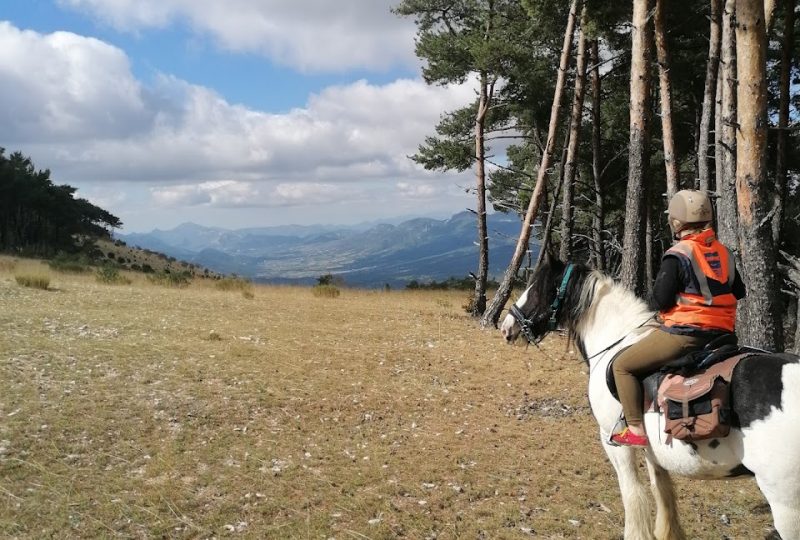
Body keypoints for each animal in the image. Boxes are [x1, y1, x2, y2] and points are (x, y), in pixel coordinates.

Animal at [500, 252, 800, 540]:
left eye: (537, 288)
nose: (507, 326)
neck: (617, 340)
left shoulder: (613, 442)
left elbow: (632, 494)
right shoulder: (653, 451)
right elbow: (662, 492)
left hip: (785, 502)